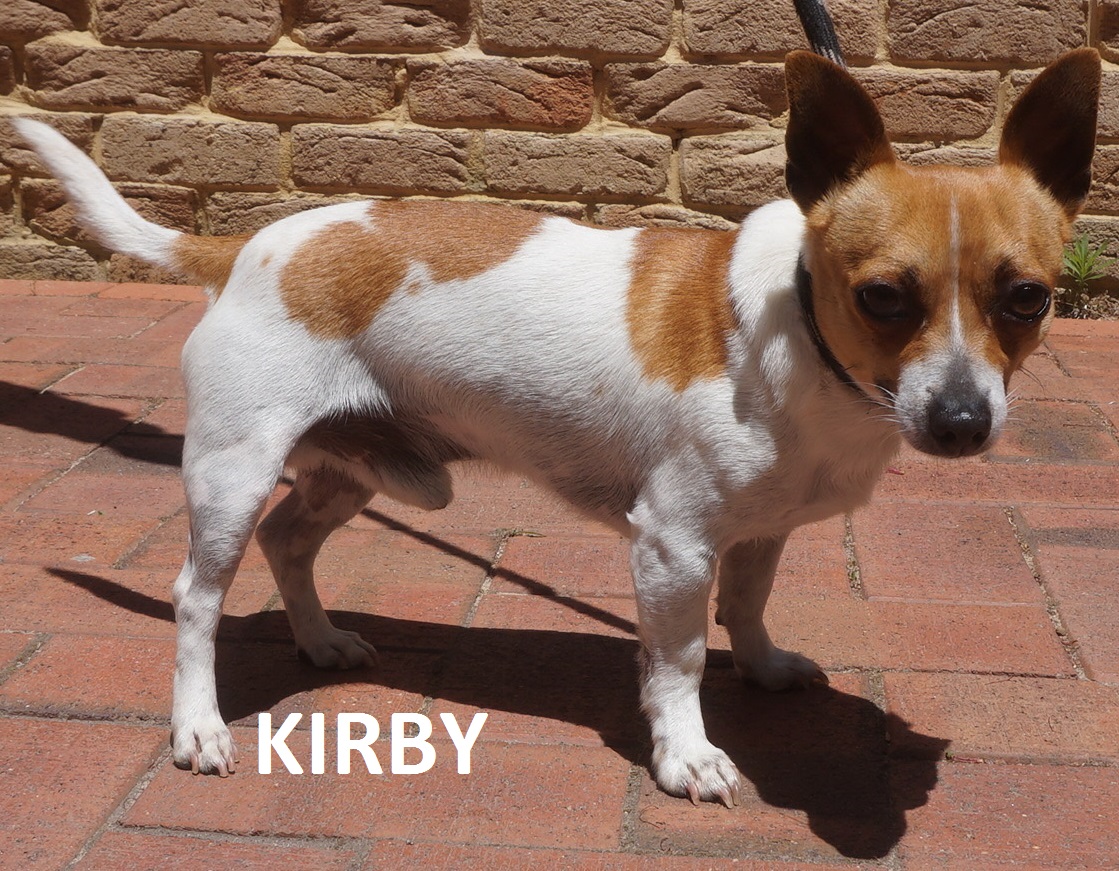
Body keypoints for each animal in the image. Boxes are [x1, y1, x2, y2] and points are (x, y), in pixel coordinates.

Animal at [13, 46, 1100, 806]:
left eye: (1028, 299)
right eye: (881, 297)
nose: (960, 421)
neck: (802, 345)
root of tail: (248, 246)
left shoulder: (760, 531)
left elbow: (745, 607)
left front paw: (763, 666)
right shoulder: (671, 545)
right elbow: (677, 659)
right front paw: (688, 752)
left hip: (355, 471)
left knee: (290, 542)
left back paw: (320, 643)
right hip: (232, 472)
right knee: (197, 597)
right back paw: (198, 727)